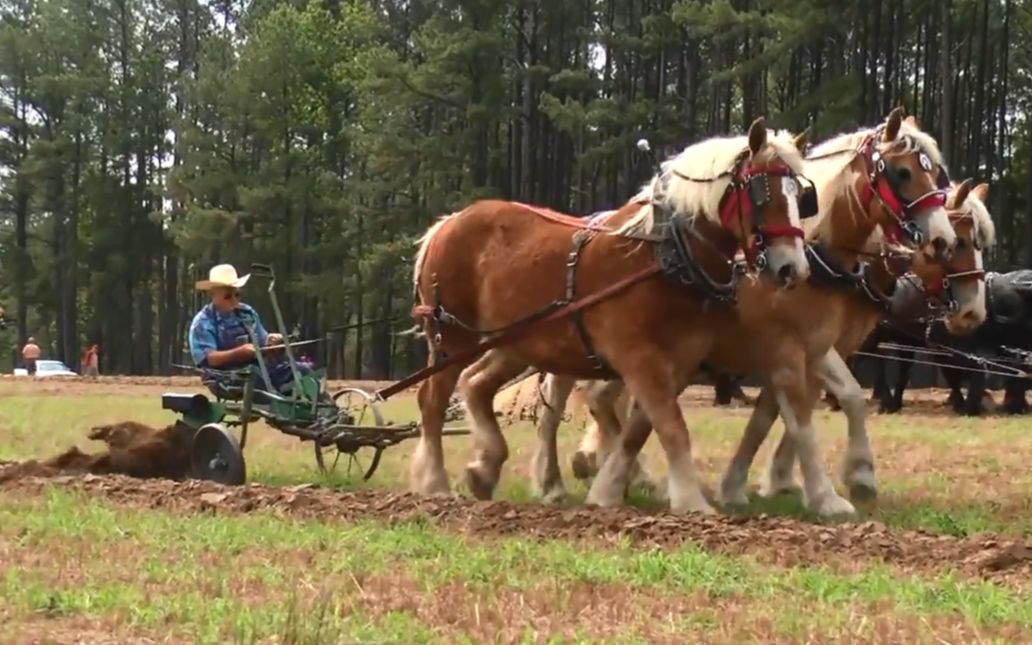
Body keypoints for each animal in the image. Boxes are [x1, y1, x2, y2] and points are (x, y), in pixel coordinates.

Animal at [406, 117, 817, 513]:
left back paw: (485, 468)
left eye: (802, 196)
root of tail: (447, 223)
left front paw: (608, 490)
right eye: (761, 193)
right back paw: (435, 483)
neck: (664, 257)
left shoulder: (676, 364)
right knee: (432, 400)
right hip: (452, 338)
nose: (792, 269)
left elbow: (640, 429)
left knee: (476, 384)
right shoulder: (638, 357)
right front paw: (691, 501)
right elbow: (671, 427)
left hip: (517, 343)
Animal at [528, 108, 961, 516]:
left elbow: (773, 417)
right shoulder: (787, 350)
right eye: (903, 172)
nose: (943, 241)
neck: (818, 259)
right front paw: (839, 486)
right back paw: (555, 481)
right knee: (562, 406)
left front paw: (751, 485)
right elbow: (811, 412)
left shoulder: (811, 351)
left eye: (935, 173)